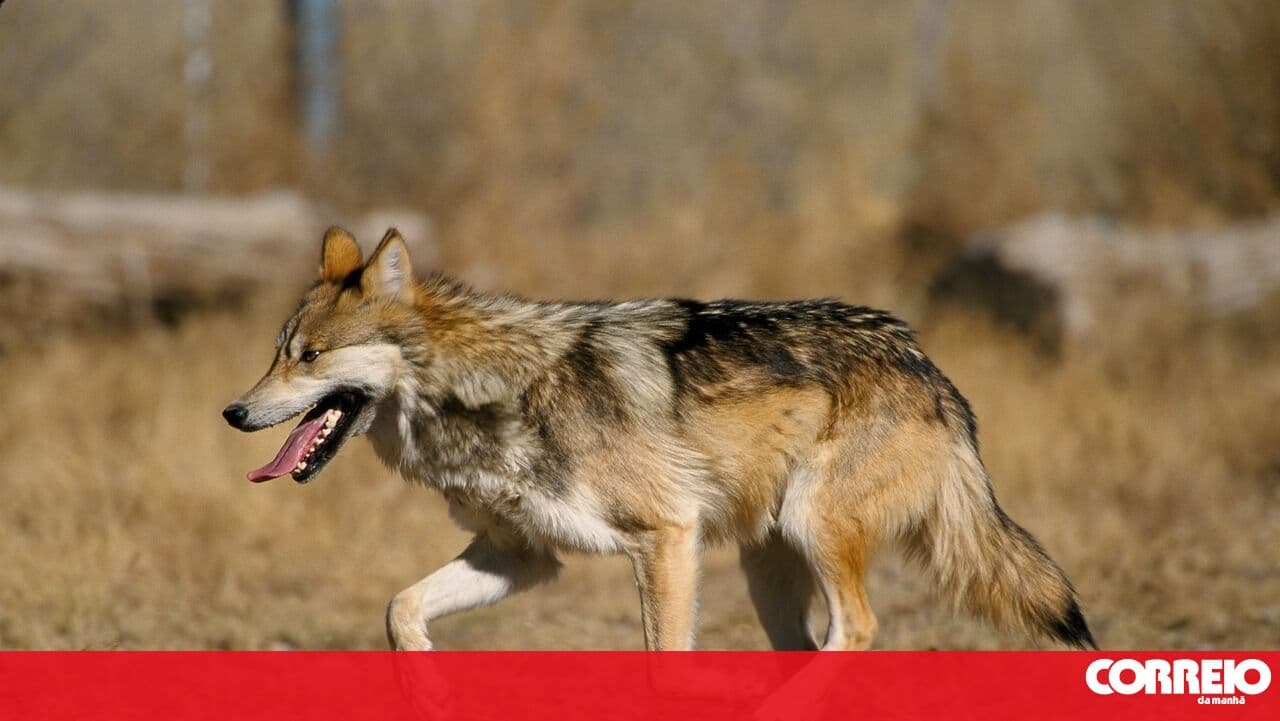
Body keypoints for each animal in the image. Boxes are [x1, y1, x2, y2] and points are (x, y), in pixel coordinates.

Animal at [222, 227, 1095, 651]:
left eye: (309, 356)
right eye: (277, 351)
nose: (232, 412)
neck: (490, 390)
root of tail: (926, 364)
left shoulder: (666, 537)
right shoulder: (521, 556)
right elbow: (400, 608)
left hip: (810, 527)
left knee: (859, 629)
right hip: (767, 568)